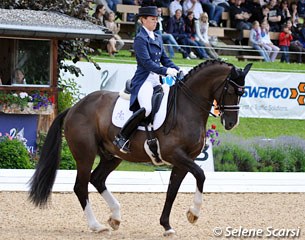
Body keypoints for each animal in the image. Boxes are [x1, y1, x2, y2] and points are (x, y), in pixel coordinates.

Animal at [29, 59, 252, 236]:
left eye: (243, 92)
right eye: (231, 90)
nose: (231, 123)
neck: (186, 108)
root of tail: (75, 107)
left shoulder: (183, 160)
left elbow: (172, 191)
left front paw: (167, 226)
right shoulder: (176, 155)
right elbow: (201, 175)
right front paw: (193, 214)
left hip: (112, 156)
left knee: (97, 179)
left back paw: (115, 217)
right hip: (85, 154)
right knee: (80, 186)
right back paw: (96, 225)